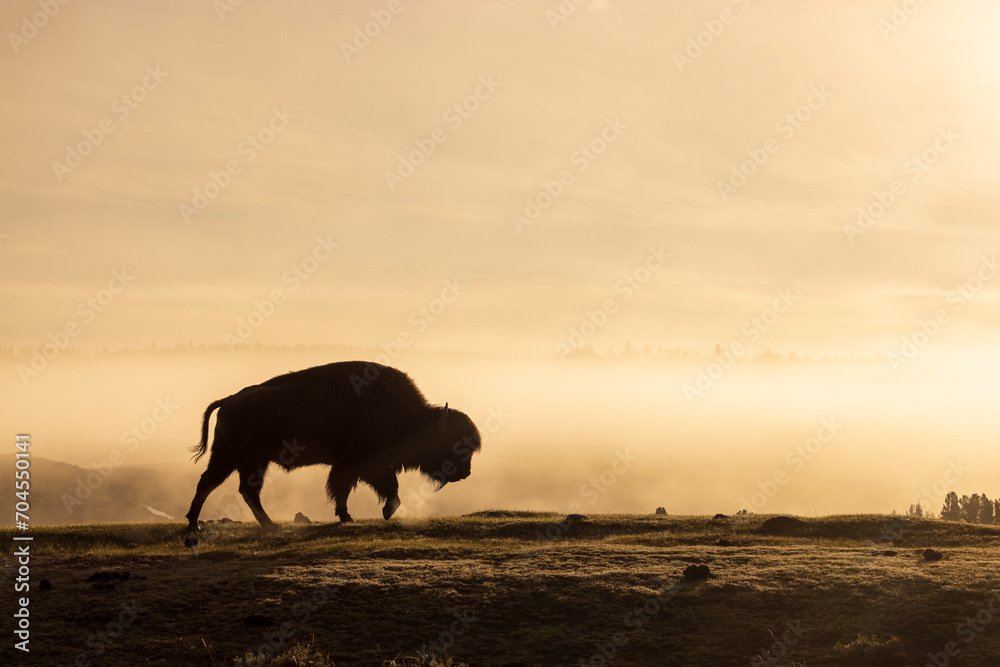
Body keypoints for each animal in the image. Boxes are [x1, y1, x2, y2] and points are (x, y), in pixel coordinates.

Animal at [185, 361, 482, 530]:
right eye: (452, 443)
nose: (466, 472)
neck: (411, 418)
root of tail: (229, 399)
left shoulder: (348, 466)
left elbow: (344, 488)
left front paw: (347, 516)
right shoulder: (365, 464)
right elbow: (383, 487)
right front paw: (381, 512)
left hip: (226, 457)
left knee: (208, 482)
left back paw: (194, 526)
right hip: (252, 460)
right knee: (246, 490)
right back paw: (270, 526)